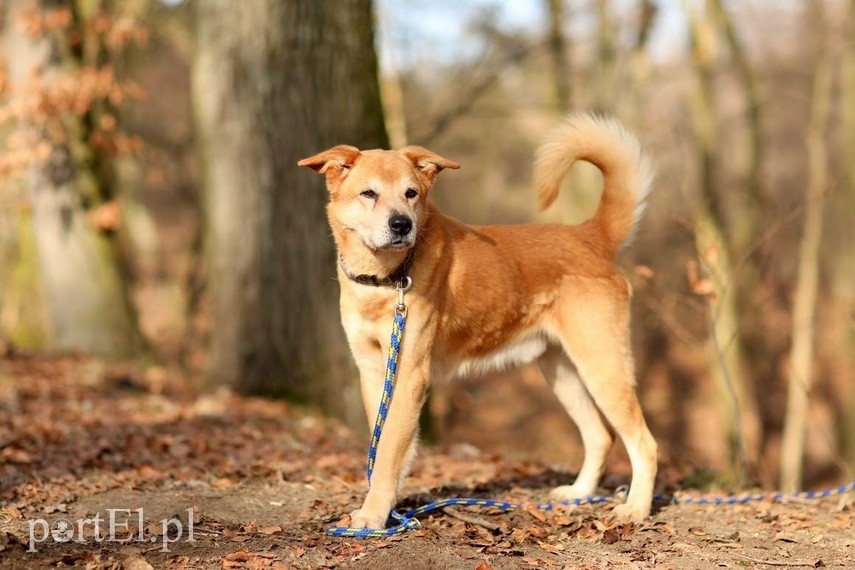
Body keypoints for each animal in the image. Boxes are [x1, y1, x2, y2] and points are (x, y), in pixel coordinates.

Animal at [298, 113, 660, 524]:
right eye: (368, 193)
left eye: (411, 193)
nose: (402, 224)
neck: (387, 279)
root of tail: (590, 237)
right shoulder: (374, 371)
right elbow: (387, 448)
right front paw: (386, 507)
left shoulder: (409, 376)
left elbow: (388, 451)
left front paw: (373, 517)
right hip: (561, 371)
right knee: (600, 435)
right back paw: (579, 493)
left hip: (602, 365)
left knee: (644, 443)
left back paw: (636, 508)